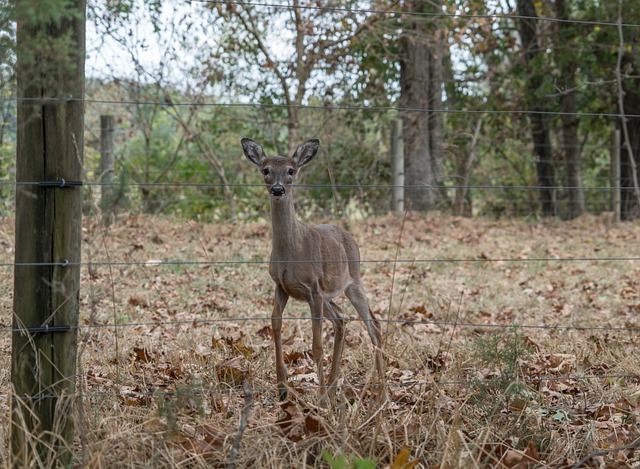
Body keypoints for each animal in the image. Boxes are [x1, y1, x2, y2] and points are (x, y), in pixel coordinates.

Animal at [241, 138, 384, 402]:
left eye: (291, 170)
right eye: (266, 170)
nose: (278, 189)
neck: (291, 255)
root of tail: (347, 234)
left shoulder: (313, 288)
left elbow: (317, 346)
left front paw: (320, 400)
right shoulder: (281, 285)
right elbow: (275, 325)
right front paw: (282, 387)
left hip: (353, 281)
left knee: (374, 326)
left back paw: (380, 392)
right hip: (327, 295)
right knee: (342, 318)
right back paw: (334, 385)